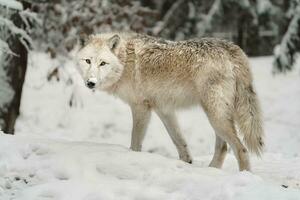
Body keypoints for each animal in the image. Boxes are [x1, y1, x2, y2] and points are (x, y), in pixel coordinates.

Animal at [76, 32, 264, 171]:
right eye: (88, 61)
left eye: (103, 63)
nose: (91, 82)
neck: (125, 61)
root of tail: (231, 47)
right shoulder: (164, 109)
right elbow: (179, 141)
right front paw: (187, 163)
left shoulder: (140, 107)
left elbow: (135, 142)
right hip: (217, 116)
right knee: (224, 147)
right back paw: (211, 171)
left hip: (215, 115)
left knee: (241, 149)